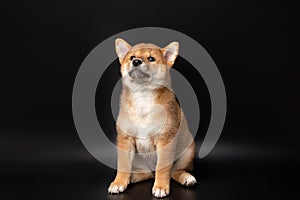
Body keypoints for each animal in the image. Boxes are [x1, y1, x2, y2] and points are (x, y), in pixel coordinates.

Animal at [108, 38, 197, 198]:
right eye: (132, 57)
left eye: (151, 59)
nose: (136, 61)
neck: (143, 97)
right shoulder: (125, 140)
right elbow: (123, 165)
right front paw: (119, 182)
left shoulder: (165, 140)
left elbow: (163, 168)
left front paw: (161, 187)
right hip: (139, 161)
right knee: (147, 173)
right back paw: (132, 177)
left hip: (188, 151)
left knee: (173, 172)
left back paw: (186, 178)